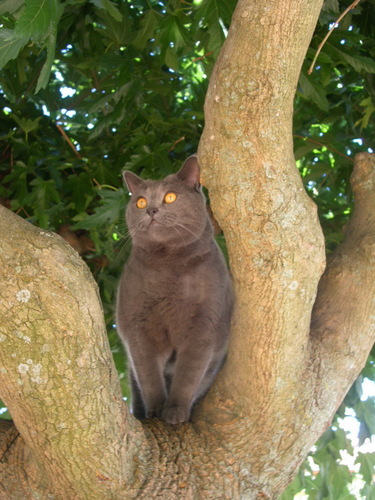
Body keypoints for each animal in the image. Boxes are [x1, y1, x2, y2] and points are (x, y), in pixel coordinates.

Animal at [117, 155, 235, 422]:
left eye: (170, 197)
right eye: (140, 201)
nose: (151, 209)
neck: (168, 265)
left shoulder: (205, 325)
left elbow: (189, 374)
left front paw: (175, 411)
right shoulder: (137, 327)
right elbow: (149, 376)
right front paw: (156, 410)